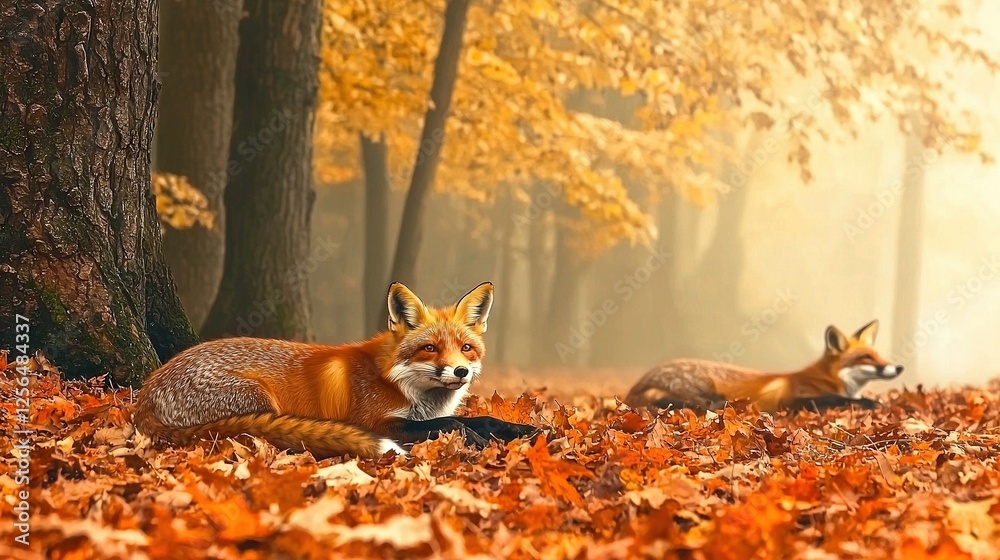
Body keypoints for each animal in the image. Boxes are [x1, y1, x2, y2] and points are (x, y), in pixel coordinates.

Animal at [133, 282, 536, 458]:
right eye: (430, 348)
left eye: (466, 348)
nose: (460, 372)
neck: (400, 383)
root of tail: (146, 397)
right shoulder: (379, 423)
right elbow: (452, 423)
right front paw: (479, 441)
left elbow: (481, 418)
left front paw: (526, 431)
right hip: (259, 401)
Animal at [625, 320, 904, 412]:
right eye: (866, 357)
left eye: (878, 355)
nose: (899, 368)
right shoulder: (793, 400)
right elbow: (838, 399)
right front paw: (871, 403)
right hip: (704, 390)